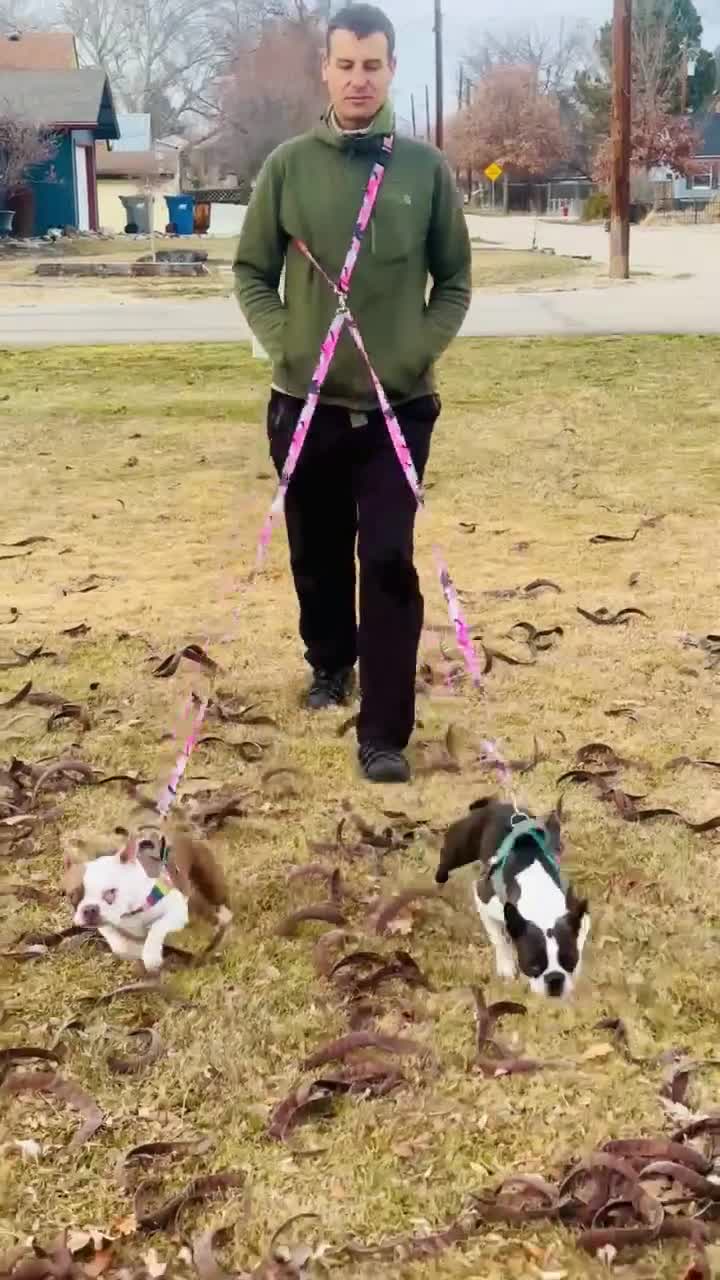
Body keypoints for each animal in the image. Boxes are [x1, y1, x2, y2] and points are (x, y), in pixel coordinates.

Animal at [64, 824, 230, 972]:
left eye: (111, 892)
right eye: (72, 895)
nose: (90, 909)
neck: (130, 912)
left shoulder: (176, 910)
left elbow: (157, 927)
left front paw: (152, 957)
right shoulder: (108, 926)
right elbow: (121, 945)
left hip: (210, 879)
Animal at [435, 798, 586, 998]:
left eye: (569, 961)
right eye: (533, 966)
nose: (555, 979)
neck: (538, 897)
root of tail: (497, 803)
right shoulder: (483, 899)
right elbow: (499, 939)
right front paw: (506, 966)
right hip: (460, 847)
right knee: (446, 859)